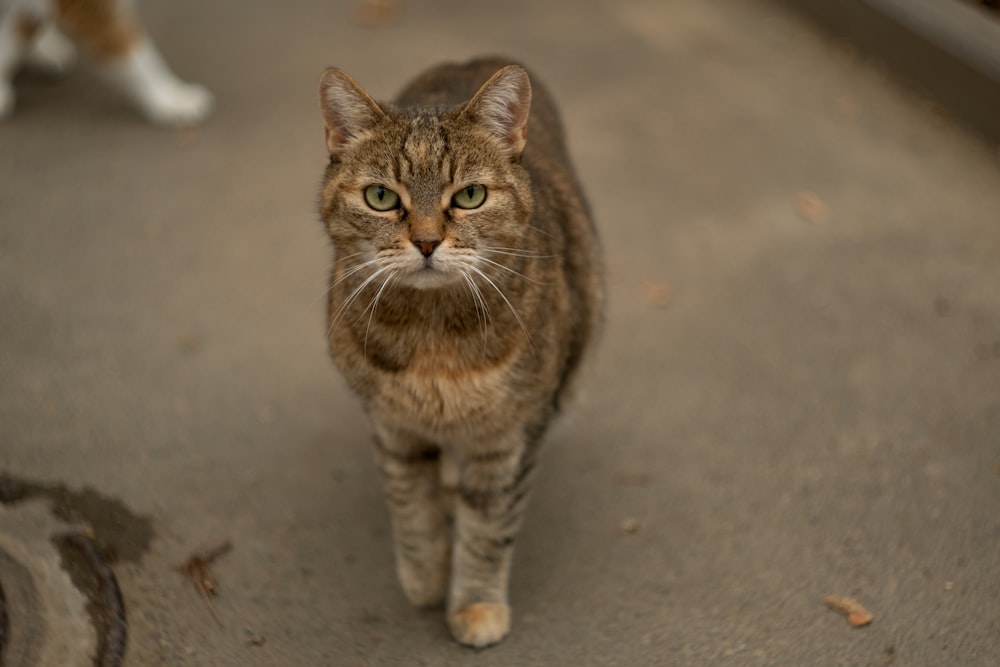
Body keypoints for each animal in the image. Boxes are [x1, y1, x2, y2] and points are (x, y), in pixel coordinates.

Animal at [318, 56, 600, 648]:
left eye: (470, 196)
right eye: (381, 198)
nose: (426, 242)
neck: (434, 337)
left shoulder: (511, 436)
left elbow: (489, 529)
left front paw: (475, 604)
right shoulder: (393, 427)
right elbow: (410, 508)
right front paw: (425, 578)